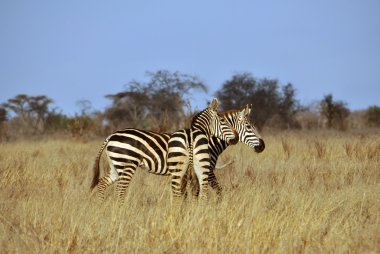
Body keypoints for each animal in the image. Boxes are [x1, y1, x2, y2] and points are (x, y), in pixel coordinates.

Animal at [90, 97, 238, 204]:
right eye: (223, 121)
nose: (236, 138)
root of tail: (111, 136)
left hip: (116, 164)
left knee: (103, 182)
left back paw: (101, 207)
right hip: (127, 164)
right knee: (120, 189)